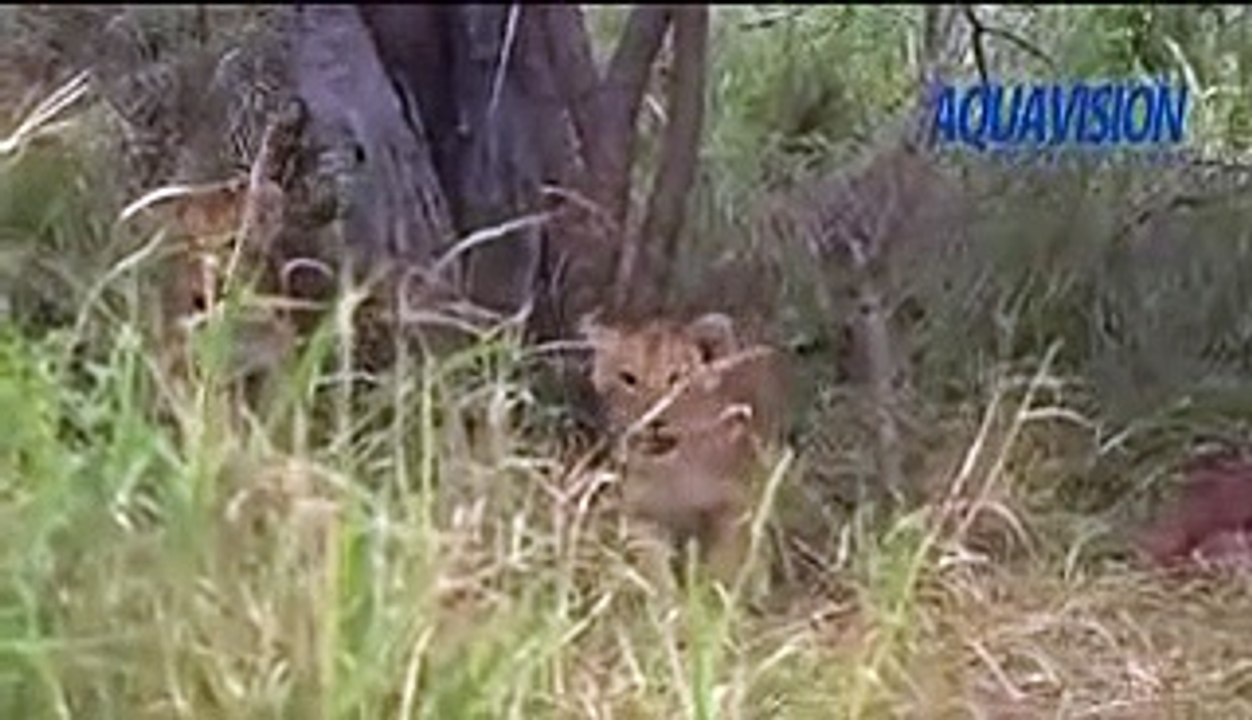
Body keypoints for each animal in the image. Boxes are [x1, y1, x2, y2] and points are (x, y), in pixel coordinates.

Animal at [579, 311, 790, 592]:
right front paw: (666, 598)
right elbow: (653, 566)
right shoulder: (643, 515)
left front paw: (716, 594)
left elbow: (727, 558)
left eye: (676, 378)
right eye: (628, 379)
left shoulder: (733, 506)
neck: (675, 469)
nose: (654, 421)